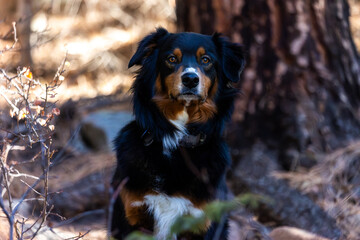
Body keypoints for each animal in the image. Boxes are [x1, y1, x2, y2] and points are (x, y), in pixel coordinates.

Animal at [109, 27, 245, 239]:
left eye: (205, 60)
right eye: (171, 59)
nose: (190, 79)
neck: (177, 141)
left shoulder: (200, 221)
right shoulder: (132, 216)